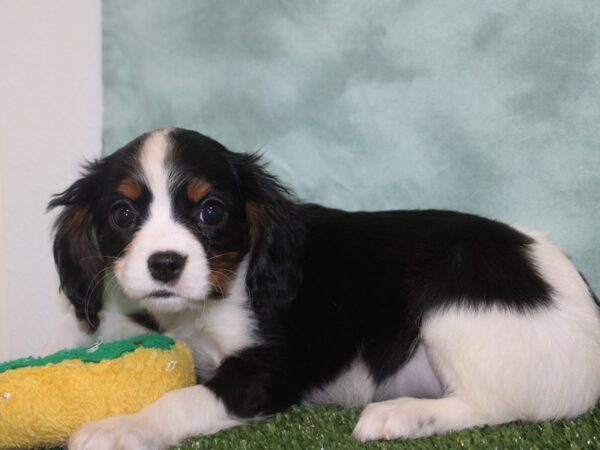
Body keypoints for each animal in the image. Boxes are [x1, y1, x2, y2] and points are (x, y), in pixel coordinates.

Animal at [48, 128, 600, 448]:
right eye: (123, 215)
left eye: (211, 212)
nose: (165, 264)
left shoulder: (265, 373)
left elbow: (181, 400)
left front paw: (123, 427)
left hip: (452, 296)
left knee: (492, 405)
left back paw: (398, 415)